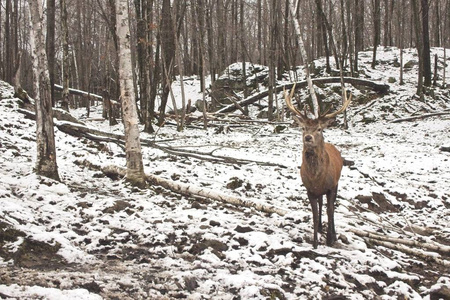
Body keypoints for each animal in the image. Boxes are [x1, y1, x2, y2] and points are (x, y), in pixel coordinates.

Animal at [284, 85, 352, 248]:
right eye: (303, 128)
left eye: (319, 129)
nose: (308, 137)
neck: (316, 177)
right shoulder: (309, 189)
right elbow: (314, 215)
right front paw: (315, 242)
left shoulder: (331, 186)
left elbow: (330, 211)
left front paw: (330, 239)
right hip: (319, 191)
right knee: (321, 204)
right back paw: (321, 228)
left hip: (336, 183)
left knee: (331, 207)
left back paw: (333, 233)